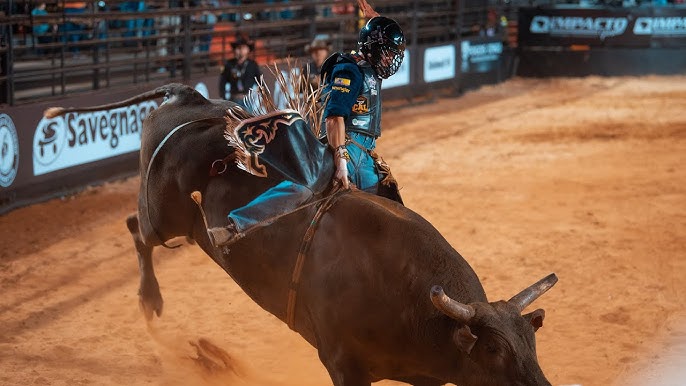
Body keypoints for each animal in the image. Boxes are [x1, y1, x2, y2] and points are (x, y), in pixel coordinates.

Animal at [47, 83, 560, 386]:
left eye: (531, 343)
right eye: (492, 350)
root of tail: (192, 99)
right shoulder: (343, 366)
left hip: (184, 224)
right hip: (161, 212)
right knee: (137, 230)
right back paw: (151, 301)